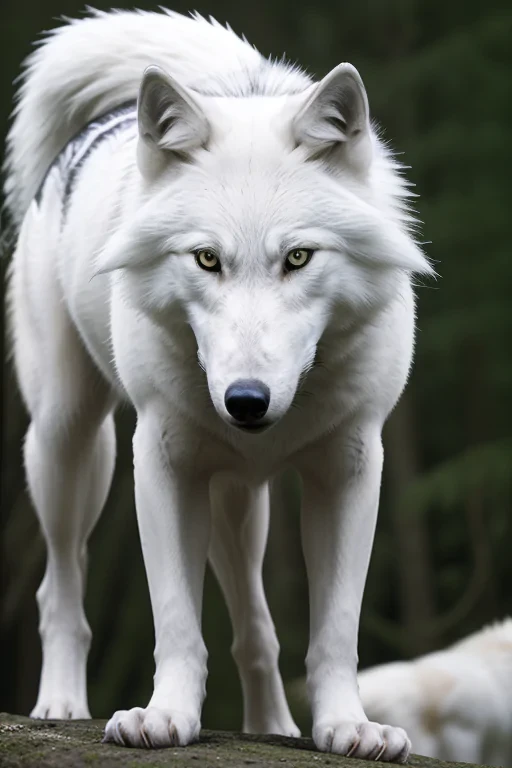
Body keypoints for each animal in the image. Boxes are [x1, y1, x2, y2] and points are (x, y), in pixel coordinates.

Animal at [5, 8, 432, 760]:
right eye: (206, 259)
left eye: (299, 257)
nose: (246, 401)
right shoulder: (161, 463)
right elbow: (176, 619)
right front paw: (163, 718)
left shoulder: (350, 466)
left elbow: (336, 628)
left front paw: (347, 728)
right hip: (68, 445)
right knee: (59, 587)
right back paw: (59, 704)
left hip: (238, 504)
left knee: (255, 624)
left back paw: (270, 726)